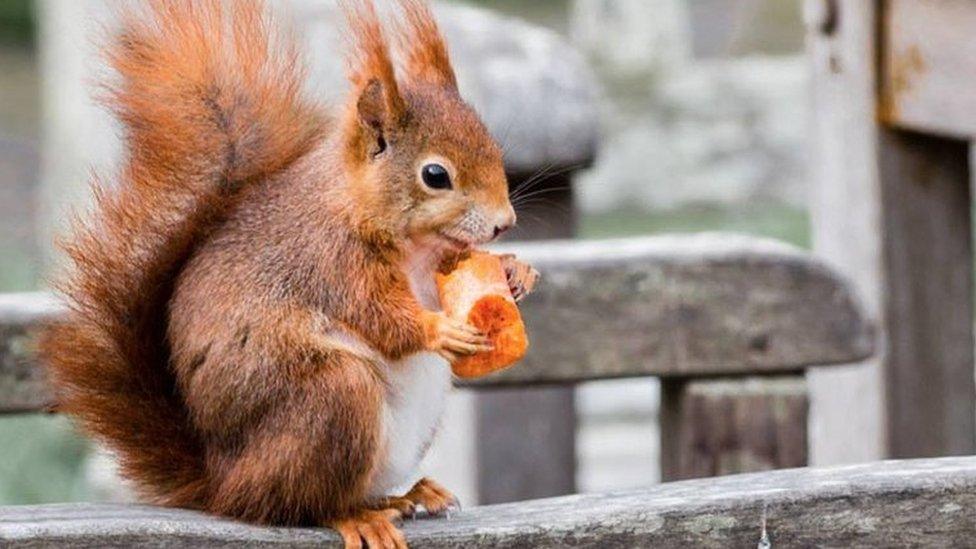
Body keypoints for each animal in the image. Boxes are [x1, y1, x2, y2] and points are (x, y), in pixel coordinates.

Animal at [40, 2, 540, 544]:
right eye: (435, 175)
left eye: (492, 145)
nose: (504, 222)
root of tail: (222, 483)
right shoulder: (333, 262)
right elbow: (381, 316)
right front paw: (438, 328)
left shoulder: (435, 264)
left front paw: (517, 271)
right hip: (332, 400)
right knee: (294, 505)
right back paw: (356, 515)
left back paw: (405, 495)